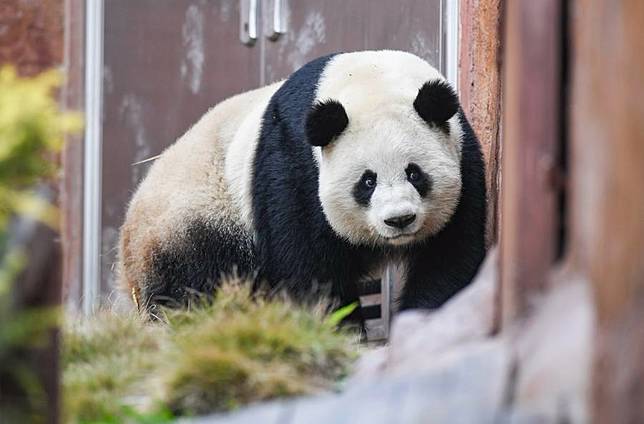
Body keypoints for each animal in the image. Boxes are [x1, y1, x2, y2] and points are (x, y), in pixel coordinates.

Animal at [117, 49, 488, 322]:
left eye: (415, 173)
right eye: (367, 181)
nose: (399, 220)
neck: (370, 79)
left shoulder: (464, 157)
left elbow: (449, 254)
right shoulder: (294, 164)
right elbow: (307, 265)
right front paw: (336, 328)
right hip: (196, 218)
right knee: (196, 283)